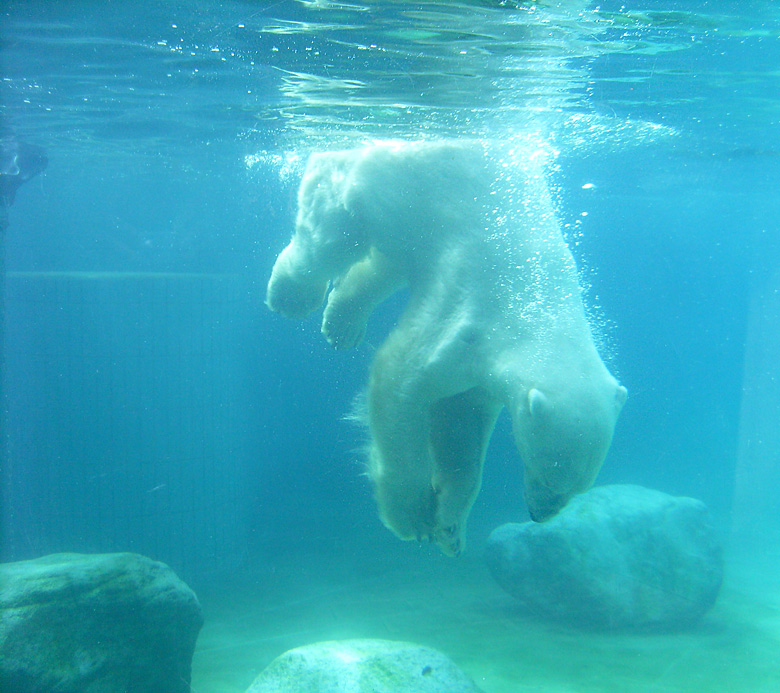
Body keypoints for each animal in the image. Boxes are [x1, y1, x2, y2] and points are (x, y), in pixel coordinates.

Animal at [268, 142, 628, 556]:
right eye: (548, 472)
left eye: (578, 488)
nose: (539, 515)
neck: (537, 304)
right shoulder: (467, 321)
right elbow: (401, 384)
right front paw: (412, 516)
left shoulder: (484, 370)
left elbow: (461, 425)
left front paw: (450, 528)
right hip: (367, 177)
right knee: (331, 237)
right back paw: (290, 297)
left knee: (383, 263)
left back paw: (342, 325)